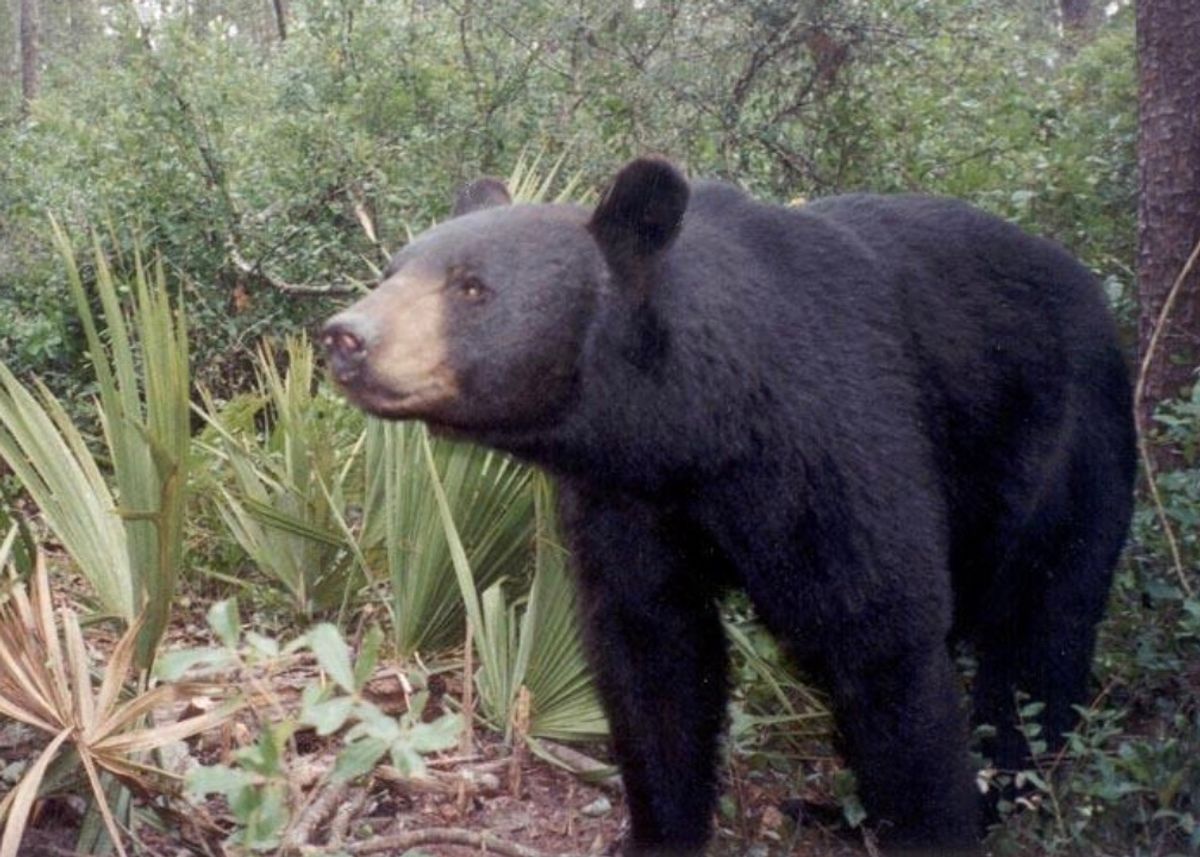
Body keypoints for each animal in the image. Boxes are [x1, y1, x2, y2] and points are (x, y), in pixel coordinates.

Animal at [321, 157, 1136, 855]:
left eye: (470, 288)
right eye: (392, 270)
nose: (344, 337)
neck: (698, 427)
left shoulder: (838, 439)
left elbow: (885, 639)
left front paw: (935, 818)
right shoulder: (628, 498)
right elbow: (653, 651)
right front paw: (660, 830)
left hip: (1067, 449)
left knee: (1040, 635)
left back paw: (996, 788)